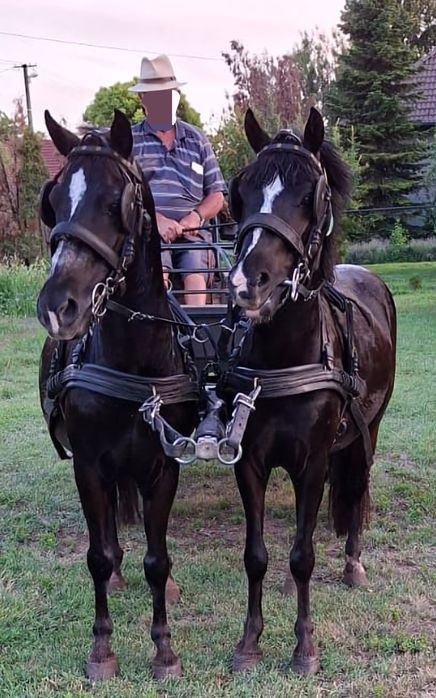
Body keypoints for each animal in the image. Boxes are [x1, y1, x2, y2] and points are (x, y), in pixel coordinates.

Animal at [36, 109, 198, 680]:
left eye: (116, 203)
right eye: (54, 203)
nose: (57, 306)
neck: (135, 363)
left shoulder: (164, 465)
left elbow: (159, 557)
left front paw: (165, 648)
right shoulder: (88, 465)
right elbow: (97, 555)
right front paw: (102, 648)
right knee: (107, 533)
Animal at [223, 107, 396, 674]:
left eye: (309, 196)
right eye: (240, 191)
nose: (246, 284)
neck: (282, 358)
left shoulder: (314, 462)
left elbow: (303, 555)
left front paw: (304, 647)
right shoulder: (250, 462)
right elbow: (257, 555)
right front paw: (249, 642)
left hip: (369, 430)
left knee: (357, 486)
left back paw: (353, 563)